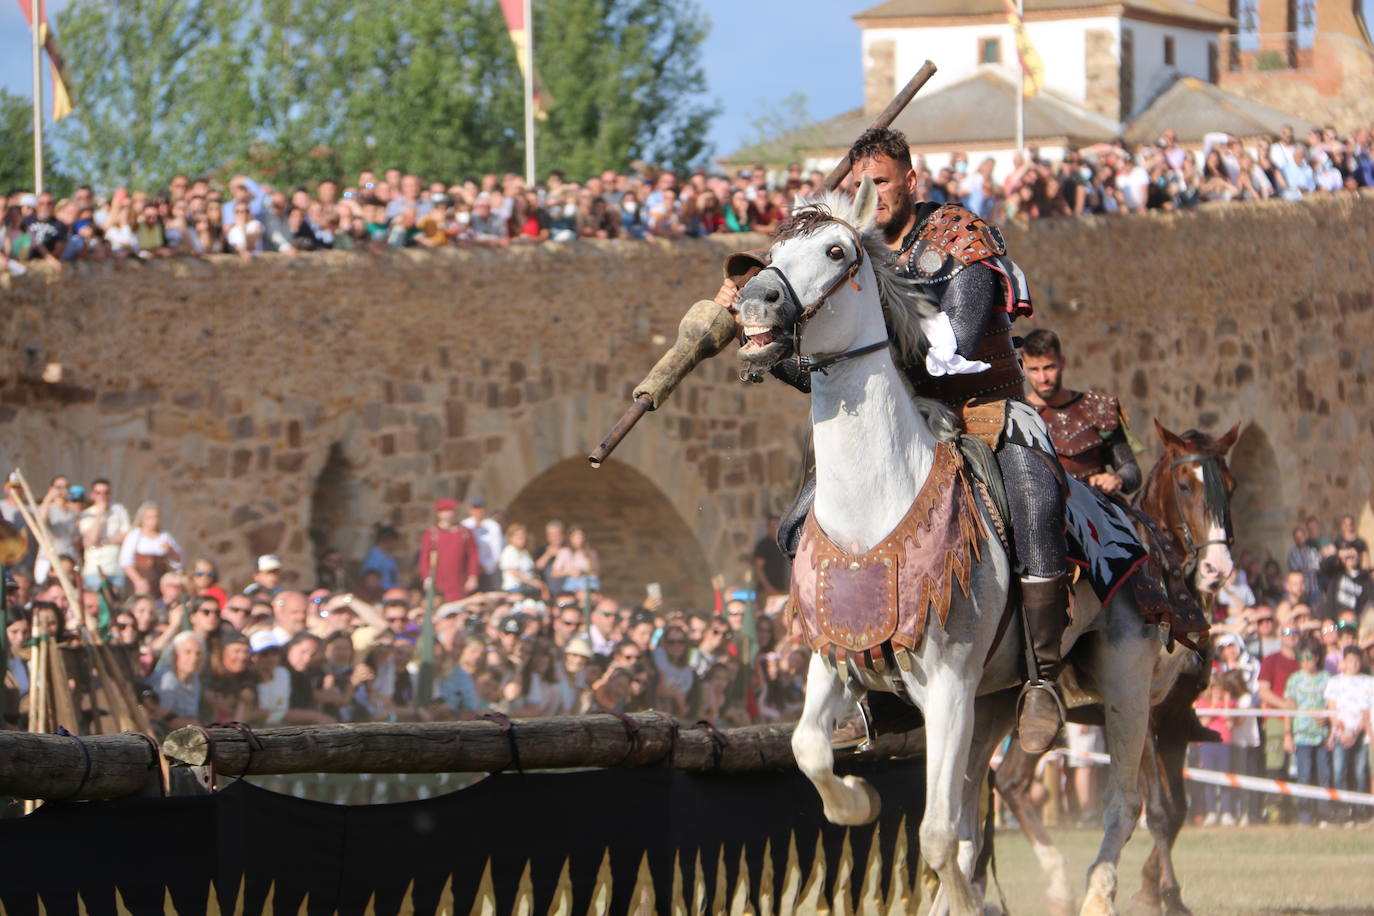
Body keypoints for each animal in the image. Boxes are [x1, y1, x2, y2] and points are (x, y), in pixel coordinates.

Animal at [736, 178, 1165, 916]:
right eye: (772, 252)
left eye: (836, 250)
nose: (753, 302)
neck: (875, 504)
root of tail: (1130, 524)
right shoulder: (835, 663)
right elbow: (809, 750)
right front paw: (857, 800)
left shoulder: (948, 686)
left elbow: (936, 835)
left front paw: (961, 897)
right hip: (994, 698)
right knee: (974, 805)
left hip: (1124, 677)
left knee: (1123, 803)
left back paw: (1095, 892)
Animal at [989, 422, 1236, 916]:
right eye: (1185, 485)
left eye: (1230, 486)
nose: (1218, 569)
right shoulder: (1149, 715)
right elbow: (1159, 809)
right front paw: (1166, 894)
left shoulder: (1170, 717)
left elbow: (1174, 810)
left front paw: (1153, 886)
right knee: (1009, 782)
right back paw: (1059, 884)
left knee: (1009, 783)